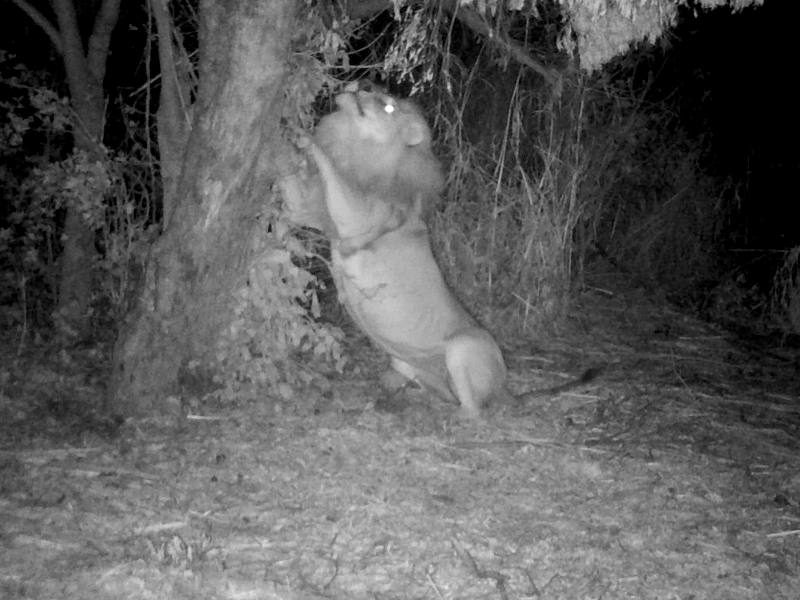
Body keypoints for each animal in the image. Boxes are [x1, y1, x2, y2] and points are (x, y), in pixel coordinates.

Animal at [305, 84, 507, 418]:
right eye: (373, 89)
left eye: (389, 107)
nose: (360, 86)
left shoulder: (358, 217)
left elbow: (331, 173)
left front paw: (304, 138)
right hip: (403, 362)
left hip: (463, 346)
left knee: (475, 411)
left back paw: (454, 415)